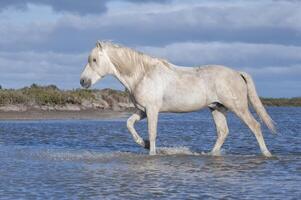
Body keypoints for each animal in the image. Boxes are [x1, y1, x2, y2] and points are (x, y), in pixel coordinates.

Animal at [79, 41, 274, 156]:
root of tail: (237, 73)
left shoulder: (152, 110)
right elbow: (129, 123)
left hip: (238, 108)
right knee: (223, 132)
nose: (83, 81)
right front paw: (144, 143)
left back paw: (267, 154)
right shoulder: (143, 110)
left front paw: (151, 152)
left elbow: (152, 132)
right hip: (217, 108)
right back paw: (211, 154)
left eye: (94, 59)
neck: (142, 74)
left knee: (255, 126)